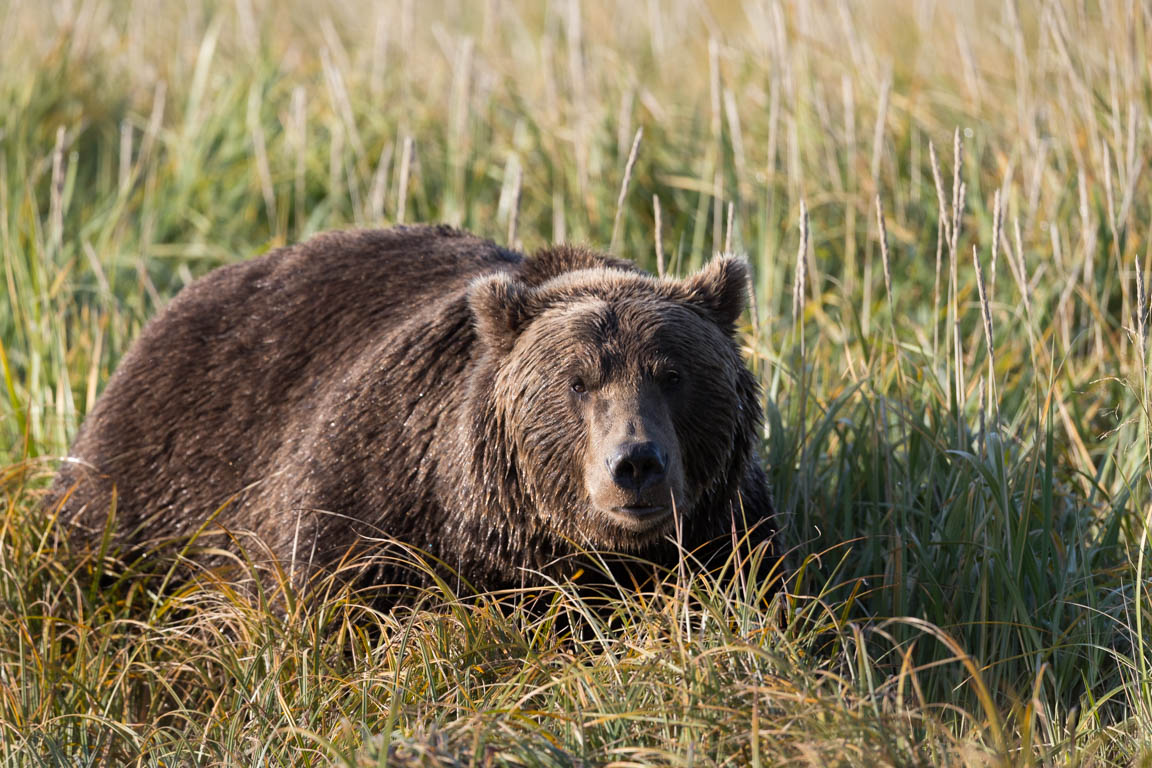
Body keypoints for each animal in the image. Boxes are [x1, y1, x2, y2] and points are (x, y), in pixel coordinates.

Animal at [51, 225, 774, 598]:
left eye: (672, 375)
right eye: (577, 382)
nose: (635, 464)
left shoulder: (728, 533)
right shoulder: (373, 491)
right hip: (150, 474)